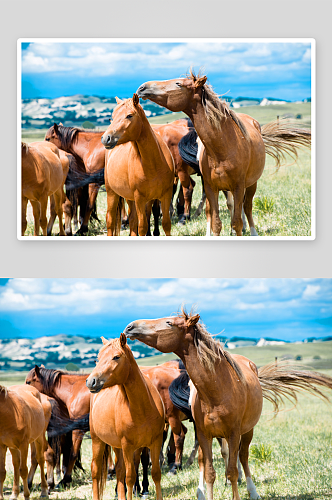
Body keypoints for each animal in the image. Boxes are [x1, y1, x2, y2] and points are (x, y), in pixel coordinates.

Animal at [85, 332, 164, 500]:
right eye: (97, 359)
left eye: (116, 357)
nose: (91, 381)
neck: (143, 408)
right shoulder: (128, 446)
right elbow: (130, 478)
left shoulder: (155, 442)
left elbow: (156, 474)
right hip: (97, 441)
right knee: (96, 471)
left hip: (116, 446)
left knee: (120, 472)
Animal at [100, 95, 174, 236]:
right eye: (112, 117)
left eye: (129, 115)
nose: (106, 138)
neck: (154, 164)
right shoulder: (140, 198)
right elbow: (143, 227)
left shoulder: (166, 195)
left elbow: (166, 224)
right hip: (112, 193)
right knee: (110, 220)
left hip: (130, 198)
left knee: (132, 221)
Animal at [124, 308, 332, 500]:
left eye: (169, 323)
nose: (130, 326)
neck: (217, 390)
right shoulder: (205, 434)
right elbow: (209, 471)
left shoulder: (233, 434)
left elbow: (232, 471)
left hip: (247, 431)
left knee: (243, 457)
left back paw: (252, 491)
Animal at [137, 69, 312, 237]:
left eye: (178, 84)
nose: (142, 87)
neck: (223, 147)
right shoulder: (211, 188)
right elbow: (216, 221)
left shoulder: (238, 187)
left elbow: (237, 222)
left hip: (251, 184)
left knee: (247, 207)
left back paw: (253, 232)